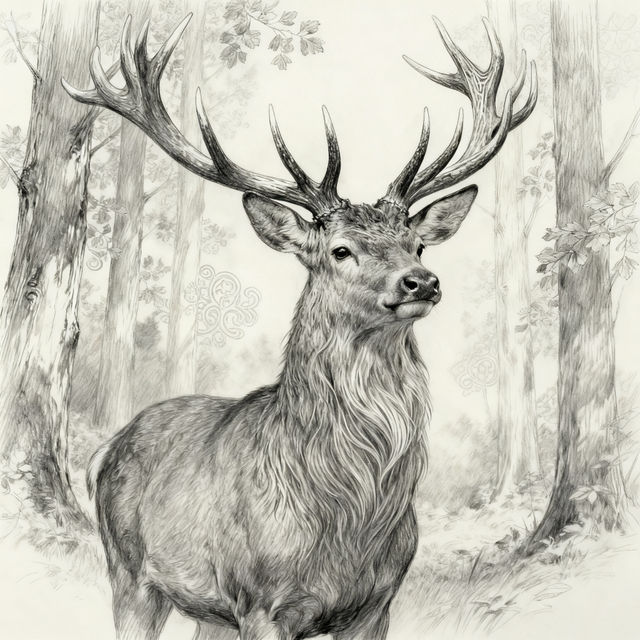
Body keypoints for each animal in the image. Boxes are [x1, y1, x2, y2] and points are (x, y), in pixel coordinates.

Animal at [64, 13, 536, 640]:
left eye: (416, 243)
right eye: (340, 250)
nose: (422, 281)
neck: (348, 517)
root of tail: (104, 450)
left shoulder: (378, 601)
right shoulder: (263, 602)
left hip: (208, 610)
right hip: (131, 572)